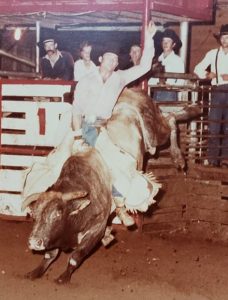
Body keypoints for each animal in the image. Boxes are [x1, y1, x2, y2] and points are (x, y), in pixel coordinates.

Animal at [20, 87, 200, 284]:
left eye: (57, 214)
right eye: (34, 214)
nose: (33, 242)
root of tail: (131, 91)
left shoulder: (96, 229)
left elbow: (76, 256)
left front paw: (64, 277)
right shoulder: (54, 235)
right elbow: (50, 255)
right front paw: (36, 271)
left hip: (154, 131)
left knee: (171, 120)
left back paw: (179, 154)